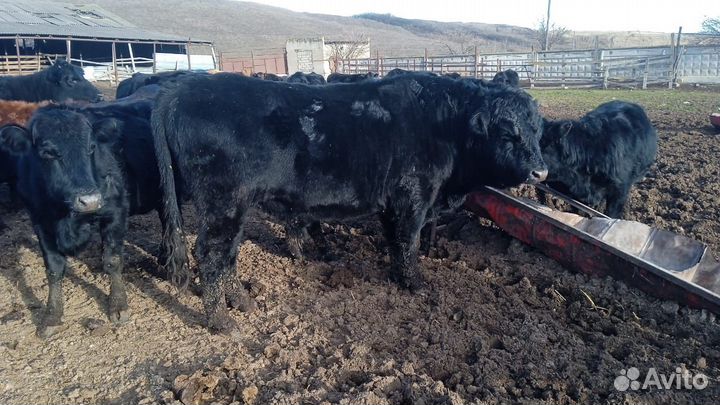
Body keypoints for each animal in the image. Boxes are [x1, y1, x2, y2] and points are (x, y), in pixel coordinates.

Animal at [0, 101, 164, 337]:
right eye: (48, 153)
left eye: (91, 148)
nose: (91, 200)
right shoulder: (40, 220)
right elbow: (54, 268)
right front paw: (52, 315)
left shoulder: (116, 211)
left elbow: (113, 260)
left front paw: (118, 305)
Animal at [151, 72, 548, 333]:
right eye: (507, 131)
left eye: (537, 129)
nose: (540, 172)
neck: (443, 124)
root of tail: (182, 88)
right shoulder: (413, 197)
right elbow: (409, 242)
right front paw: (416, 284)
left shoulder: (394, 204)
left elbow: (395, 243)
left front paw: (398, 278)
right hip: (224, 202)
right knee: (211, 254)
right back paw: (221, 321)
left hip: (235, 206)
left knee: (228, 253)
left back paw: (242, 302)